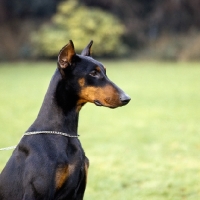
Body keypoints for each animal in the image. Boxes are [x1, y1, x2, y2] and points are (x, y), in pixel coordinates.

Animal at [0, 39, 130, 199]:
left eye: (105, 71)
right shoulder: (37, 193)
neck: (64, 133)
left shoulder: (79, 192)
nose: (126, 98)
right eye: (93, 73)